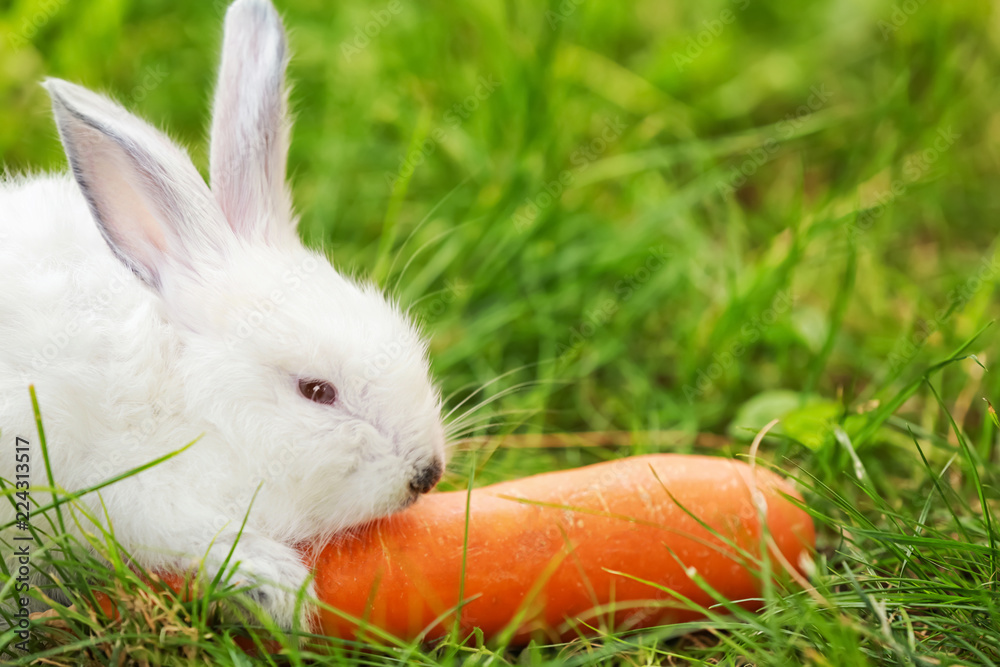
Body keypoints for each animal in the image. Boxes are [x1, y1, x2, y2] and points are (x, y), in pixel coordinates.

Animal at [0, 0, 446, 632]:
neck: (196, 405)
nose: (426, 473)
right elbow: (200, 537)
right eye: (316, 391)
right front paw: (282, 590)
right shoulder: (135, 493)